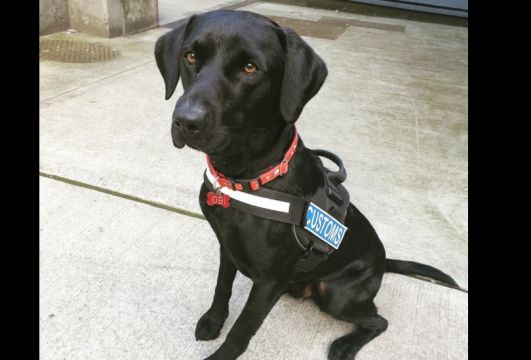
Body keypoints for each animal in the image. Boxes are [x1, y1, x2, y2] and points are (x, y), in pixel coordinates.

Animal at [155, 9, 462, 358]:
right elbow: (222, 288)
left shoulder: (269, 282)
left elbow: (241, 330)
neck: (245, 178)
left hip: (338, 296)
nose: (185, 121)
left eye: (250, 67)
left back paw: (345, 345)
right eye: (190, 56)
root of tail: (383, 261)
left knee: (379, 320)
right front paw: (212, 320)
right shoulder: (227, 248)